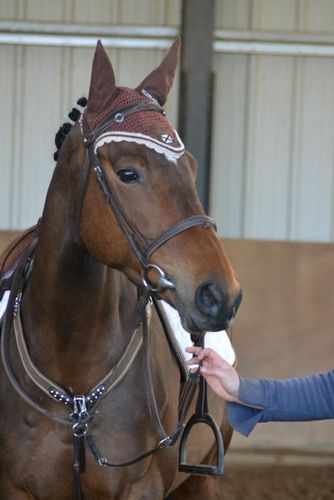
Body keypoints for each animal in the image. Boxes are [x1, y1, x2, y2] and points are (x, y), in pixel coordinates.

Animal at [0, 40, 240, 500]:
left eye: (191, 167)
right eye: (128, 173)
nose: (221, 294)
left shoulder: (140, 488)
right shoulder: (14, 488)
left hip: (199, 482)